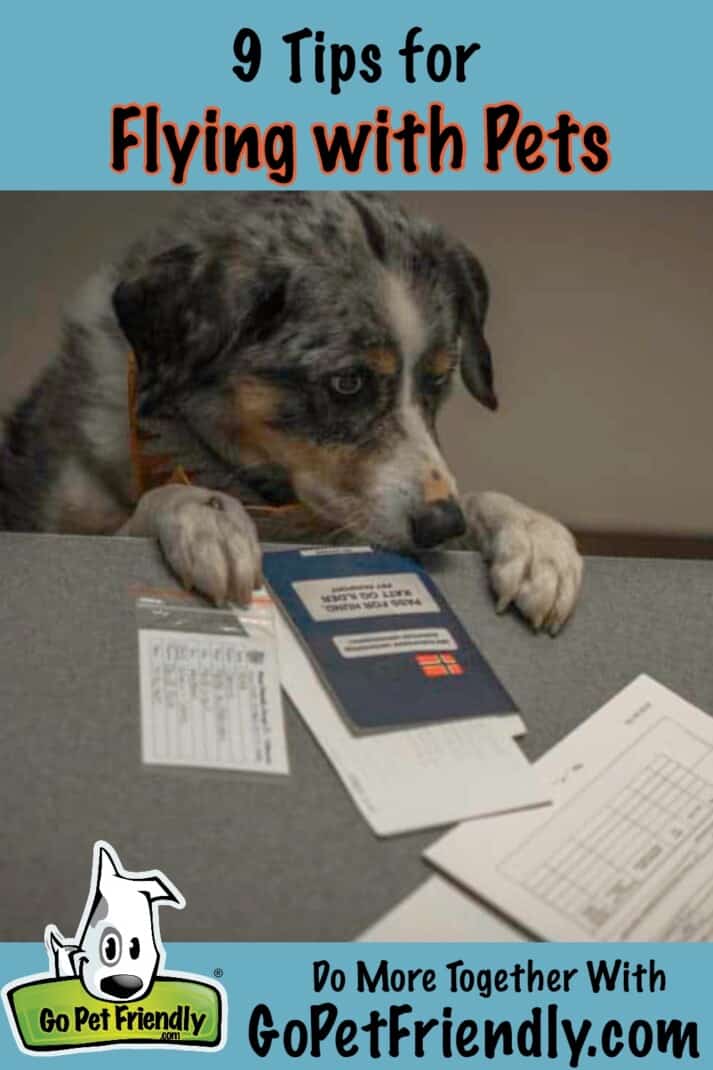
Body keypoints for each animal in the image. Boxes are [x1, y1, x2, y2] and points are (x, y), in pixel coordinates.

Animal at [0, 191, 578, 629]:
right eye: (347, 383)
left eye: (438, 380)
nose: (441, 525)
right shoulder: (61, 528)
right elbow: (158, 501)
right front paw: (203, 516)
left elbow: (483, 499)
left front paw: (534, 538)